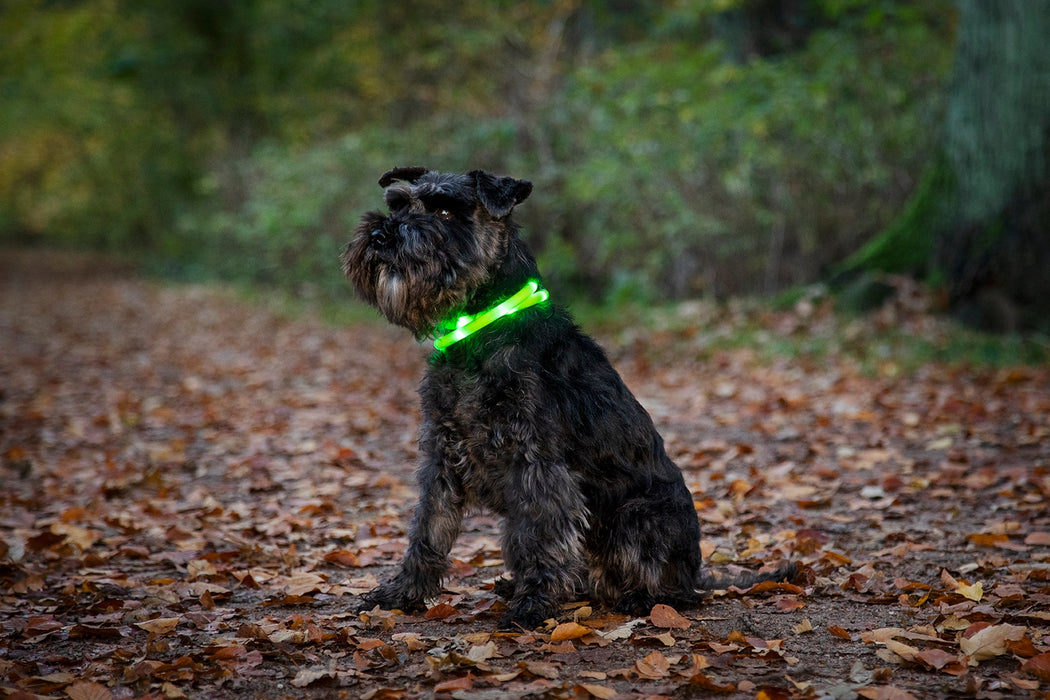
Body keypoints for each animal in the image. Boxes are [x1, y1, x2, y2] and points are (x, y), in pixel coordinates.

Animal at [340, 165, 789, 629]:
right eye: (398, 204)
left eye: (445, 211)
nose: (380, 235)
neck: (480, 327)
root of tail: (698, 573)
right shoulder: (441, 456)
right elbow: (428, 530)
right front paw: (400, 594)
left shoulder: (536, 463)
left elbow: (539, 537)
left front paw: (533, 604)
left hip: (635, 517)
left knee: (670, 589)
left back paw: (641, 598)